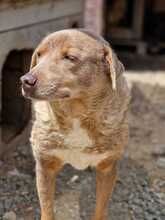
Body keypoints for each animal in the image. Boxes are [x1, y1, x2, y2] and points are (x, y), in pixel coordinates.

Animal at [20, 29, 130, 220]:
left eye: (70, 57)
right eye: (39, 55)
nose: (26, 81)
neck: (76, 115)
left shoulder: (107, 168)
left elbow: (100, 210)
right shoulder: (45, 166)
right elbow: (47, 209)